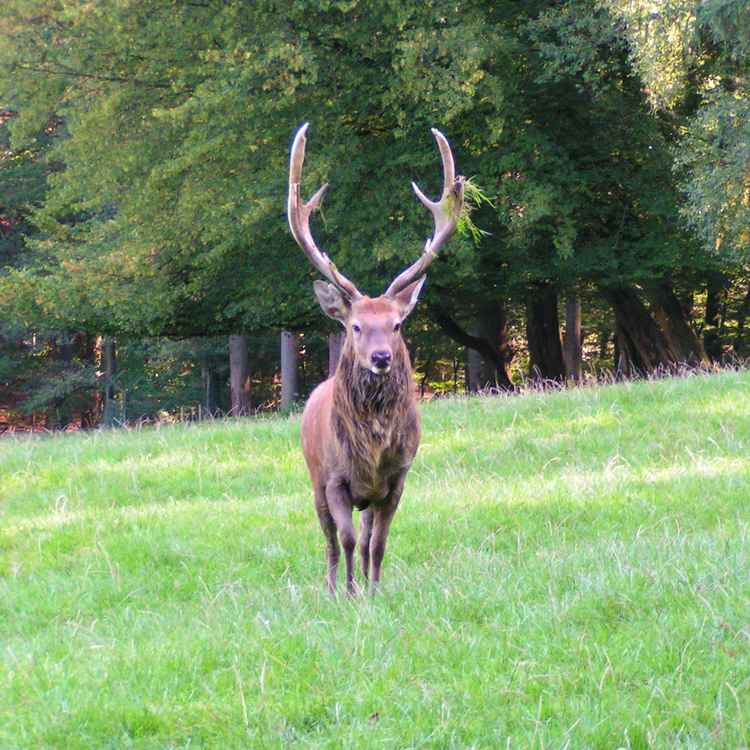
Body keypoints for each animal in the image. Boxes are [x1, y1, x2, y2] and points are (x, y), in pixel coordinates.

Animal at [287, 123, 465, 594]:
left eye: (397, 324)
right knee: (329, 540)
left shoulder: (397, 477)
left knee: (365, 535)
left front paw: (375, 589)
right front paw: (349, 591)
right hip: (313, 478)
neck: (372, 448)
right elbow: (347, 540)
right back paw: (331, 586)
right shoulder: (334, 478)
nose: (382, 357)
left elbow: (377, 543)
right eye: (355, 326)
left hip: (367, 496)